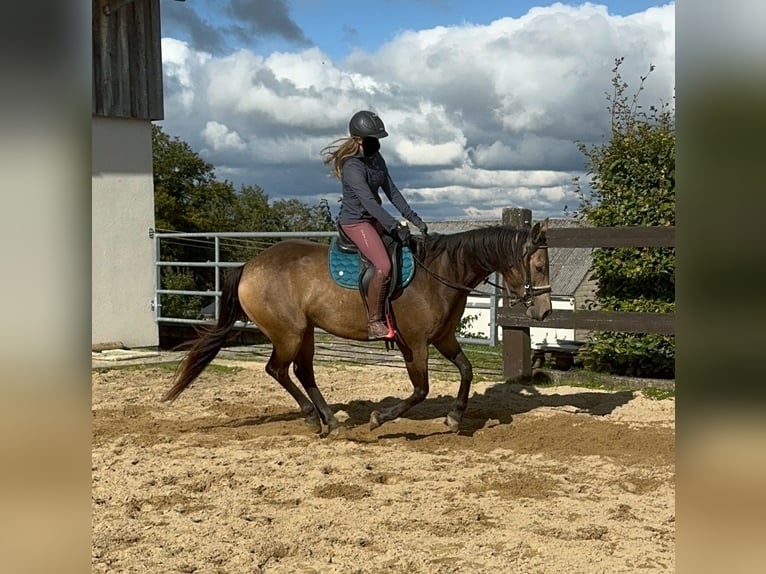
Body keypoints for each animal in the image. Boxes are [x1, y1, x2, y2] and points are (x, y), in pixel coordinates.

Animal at [164, 222, 552, 436]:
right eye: (538, 265)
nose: (545, 311)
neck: (440, 274)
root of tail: (248, 266)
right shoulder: (415, 344)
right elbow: (420, 390)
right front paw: (380, 418)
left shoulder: (442, 338)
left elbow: (467, 370)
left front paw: (455, 418)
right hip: (289, 334)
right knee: (278, 370)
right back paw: (312, 418)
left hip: (306, 333)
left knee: (303, 372)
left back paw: (332, 421)